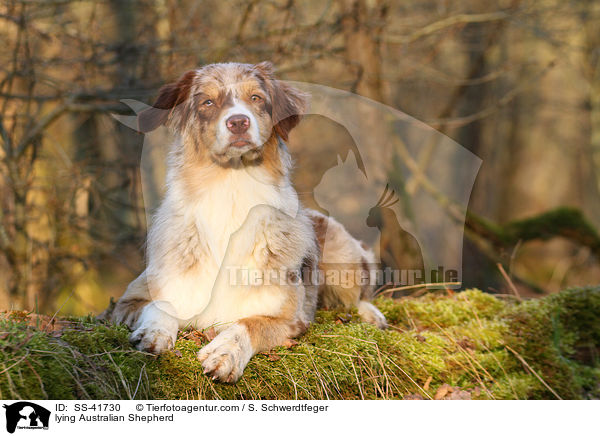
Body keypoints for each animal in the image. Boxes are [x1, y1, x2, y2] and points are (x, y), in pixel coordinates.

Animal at [109, 61, 386, 382]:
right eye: (207, 102)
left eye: (256, 98)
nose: (238, 122)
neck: (230, 191)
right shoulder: (131, 300)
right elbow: (159, 304)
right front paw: (153, 333)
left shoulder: (289, 318)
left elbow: (248, 323)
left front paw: (224, 353)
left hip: (343, 255)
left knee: (358, 295)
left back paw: (372, 315)